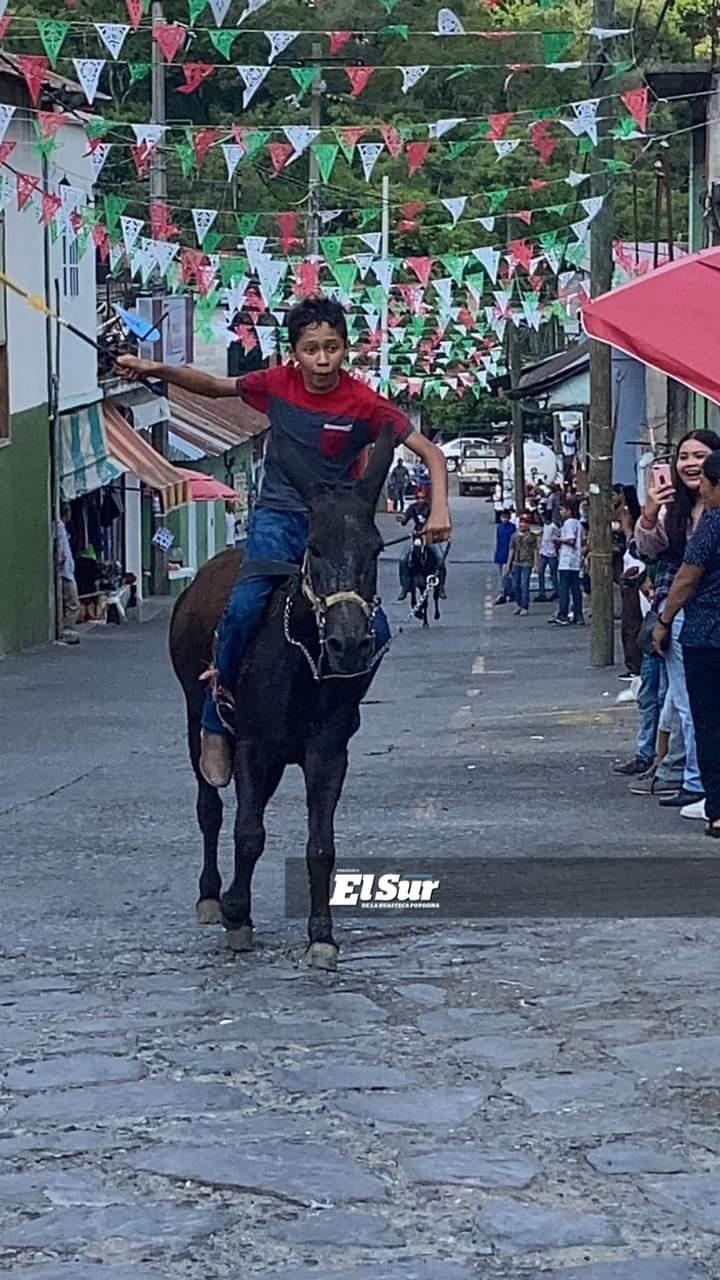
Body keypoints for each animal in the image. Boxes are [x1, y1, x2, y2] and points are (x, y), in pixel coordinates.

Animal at [167, 424, 392, 962]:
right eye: (314, 546)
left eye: (375, 549)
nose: (349, 643)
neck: (302, 663)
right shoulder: (252, 744)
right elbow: (248, 832)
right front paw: (237, 915)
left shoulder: (326, 751)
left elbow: (320, 845)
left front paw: (321, 935)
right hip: (196, 714)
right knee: (211, 808)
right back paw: (212, 894)